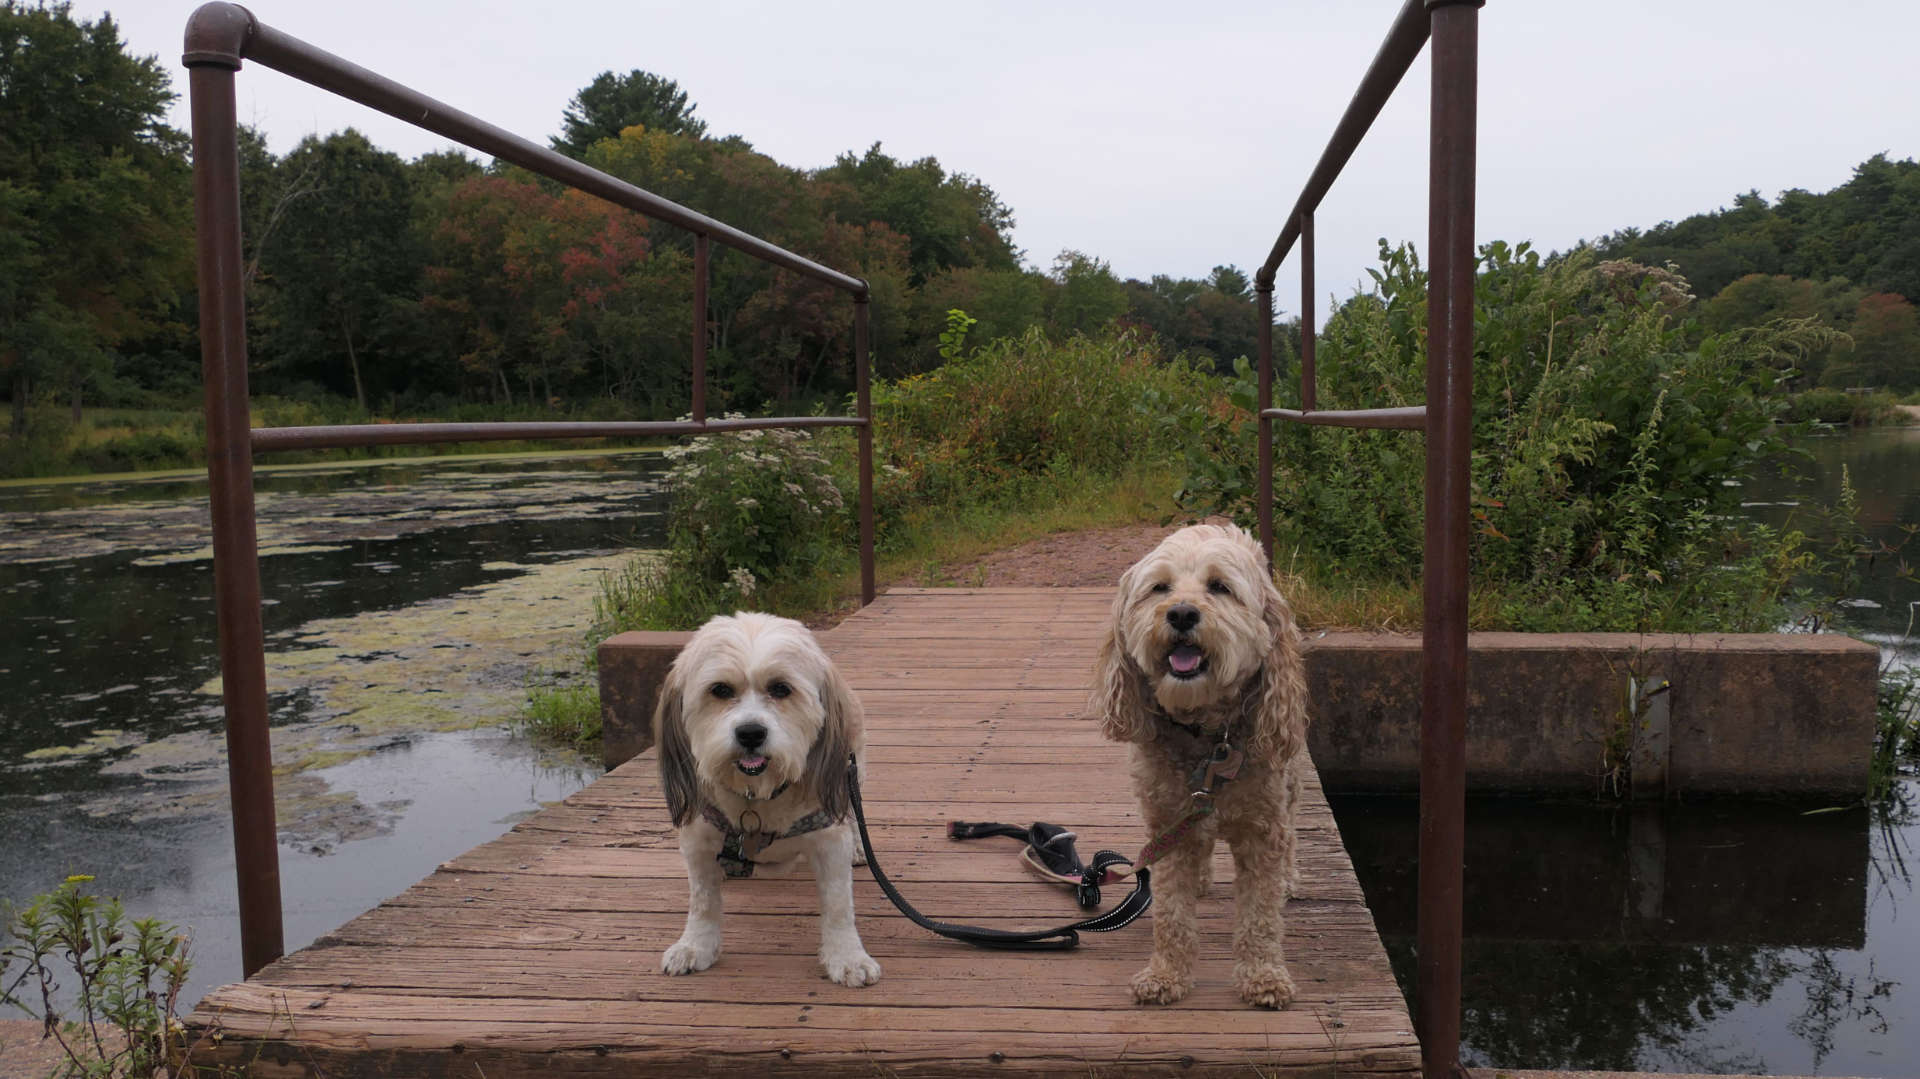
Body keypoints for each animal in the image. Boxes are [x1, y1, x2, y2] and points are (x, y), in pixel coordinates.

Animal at [652, 610, 879, 990]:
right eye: (720, 690)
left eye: (780, 688)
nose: (750, 733)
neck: (757, 796)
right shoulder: (698, 837)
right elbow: (703, 901)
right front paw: (695, 945)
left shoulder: (829, 839)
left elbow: (837, 904)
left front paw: (847, 956)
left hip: (852, 771)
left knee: (852, 812)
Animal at [1090, 522, 1313, 1006]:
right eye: (1159, 588)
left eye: (1220, 587)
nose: (1181, 614)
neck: (1208, 737)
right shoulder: (1168, 822)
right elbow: (1172, 911)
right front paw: (1166, 974)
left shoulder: (1263, 830)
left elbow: (1260, 914)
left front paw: (1263, 975)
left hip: (1290, 781)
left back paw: (1289, 879)